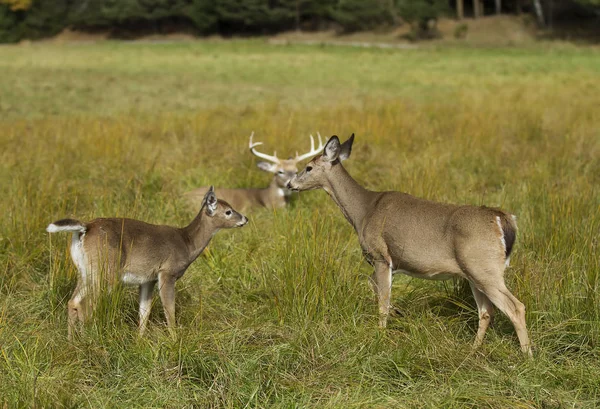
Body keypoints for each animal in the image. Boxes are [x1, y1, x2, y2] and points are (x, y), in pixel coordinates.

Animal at [44, 186, 246, 338]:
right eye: (228, 212)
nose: (245, 218)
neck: (187, 243)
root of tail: (85, 228)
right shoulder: (167, 272)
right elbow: (169, 310)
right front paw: (175, 340)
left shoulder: (148, 279)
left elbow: (144, 311)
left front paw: (139, 341)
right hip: (106, 270)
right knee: (86, 305)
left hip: (86, 271)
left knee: (73, 301)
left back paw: (72, 342)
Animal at [288, 135, 532, 356]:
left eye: (308, 167)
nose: (290, 184)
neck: (363, 212)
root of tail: (503, 219)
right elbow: (378, 293)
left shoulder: (380, 256)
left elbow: (383, 303)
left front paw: (380, 337)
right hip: (474, 272)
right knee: (486, 311)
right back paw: (473, 351)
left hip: (483, 267)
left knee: (515, 307)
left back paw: (527, 355)